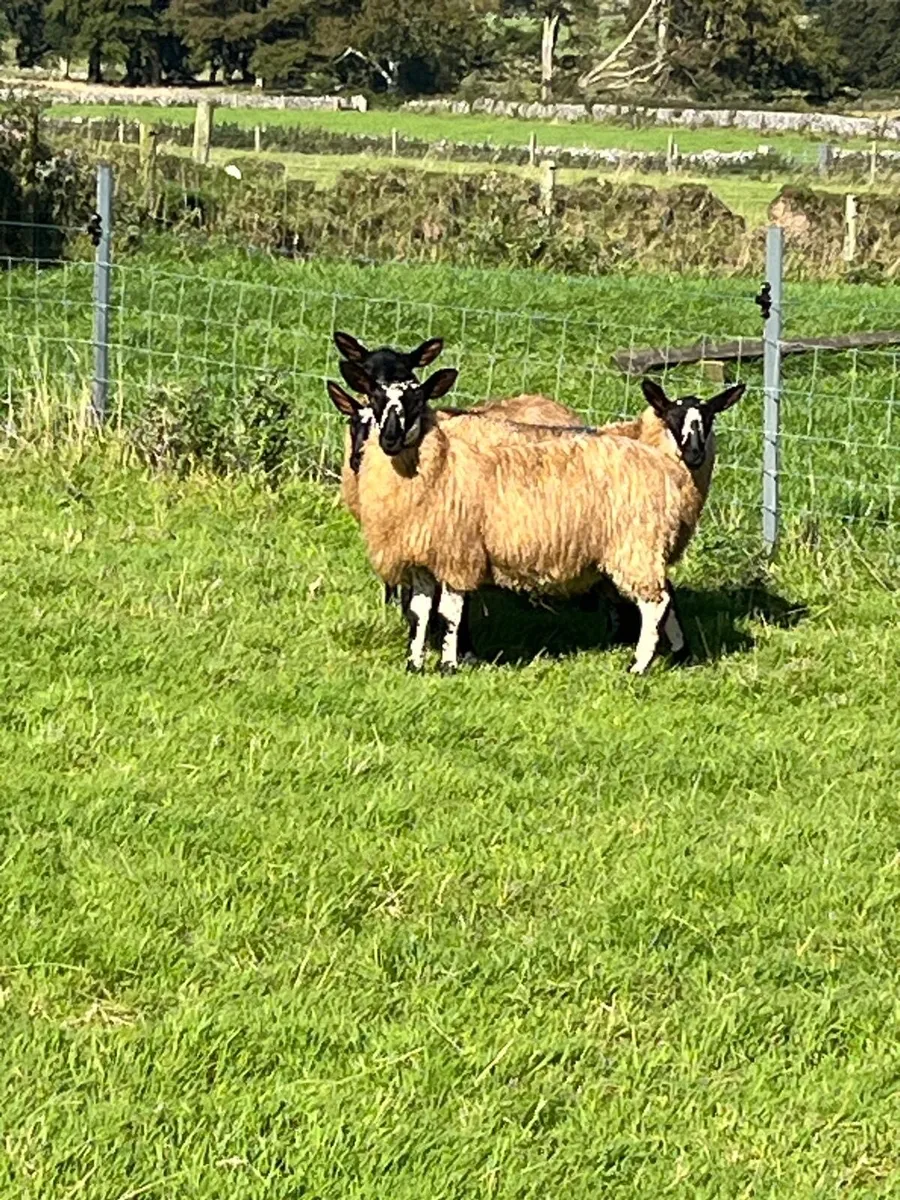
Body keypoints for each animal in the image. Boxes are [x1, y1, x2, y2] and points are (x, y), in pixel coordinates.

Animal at [336, 360, 745, 675]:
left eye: (416, 400)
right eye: (375, 400)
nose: (388, 440)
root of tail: (659, 465)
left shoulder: (457, 552)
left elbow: (450, 611)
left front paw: (450, 664)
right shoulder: (423, 552)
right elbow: (421, 612)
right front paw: (415, 663)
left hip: (635, 545)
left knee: (656, 600)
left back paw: (639, 665)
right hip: (639, 547)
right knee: (663, 595)